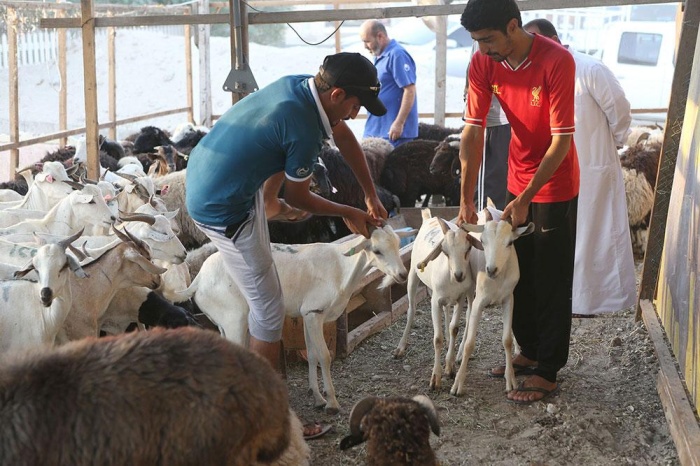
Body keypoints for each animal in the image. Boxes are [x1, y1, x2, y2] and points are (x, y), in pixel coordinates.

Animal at [174, 225, 416, 412]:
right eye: (377, 250)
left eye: (397, 244)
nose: (402, 274)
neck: (341, 267)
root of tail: (198, 280)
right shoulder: (315, 312)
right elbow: (324, 356)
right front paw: (332, 402)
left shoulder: (307, 315)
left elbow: (312, 354)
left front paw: (317, 397)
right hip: (235, 319)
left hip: (223, 322)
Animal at [394, 209, 482, 392]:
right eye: (445, 251)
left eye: (468, 248)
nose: (459, 275)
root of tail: (428, 217)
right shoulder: (434, 301)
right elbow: (437, 338)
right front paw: (435, 378)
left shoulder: (460, 297)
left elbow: (454, 328)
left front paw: (449, 367)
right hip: (413, 274)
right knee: (411, 309)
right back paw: (400, 347)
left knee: (447, 312)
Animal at [452, 220, 532, 396]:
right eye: (482, 241)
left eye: (510, 242)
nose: (491, 269)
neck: (498, 280)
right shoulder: (479, 300)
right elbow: (470, 343)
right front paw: (457, 385)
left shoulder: (509, 298)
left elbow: (506, 340)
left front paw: (511, 380)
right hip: (470, 285)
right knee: (468, 315)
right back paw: (459, 354)